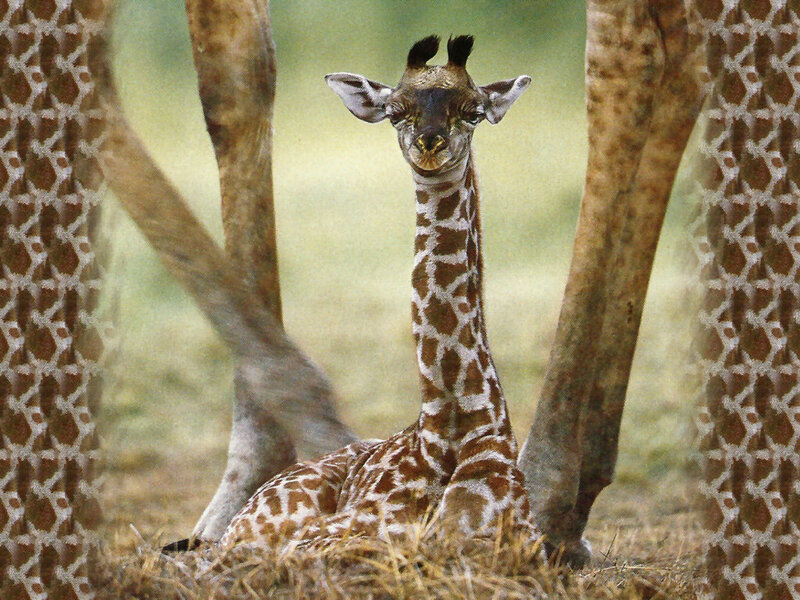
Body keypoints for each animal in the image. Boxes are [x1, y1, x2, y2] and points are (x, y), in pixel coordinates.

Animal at [219, 35, 538, 550]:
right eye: (394, 112)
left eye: (473, 111)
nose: (430, 144)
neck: (451, 426)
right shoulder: (332, 537)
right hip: (261, 524)